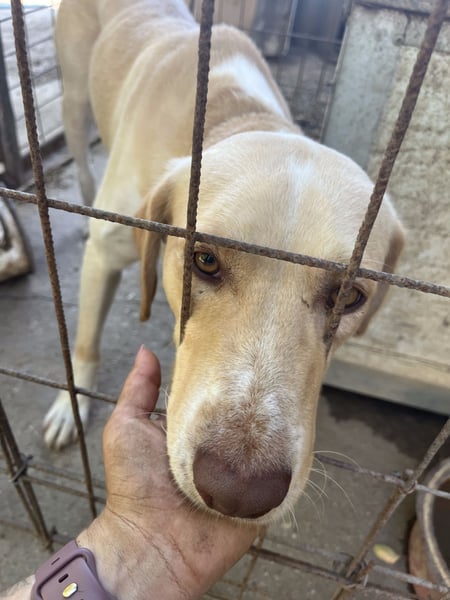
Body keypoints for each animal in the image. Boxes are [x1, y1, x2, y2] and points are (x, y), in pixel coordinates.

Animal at [45, 0, 404, 523]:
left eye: (348, 295)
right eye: (206, 259)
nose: (239, 491)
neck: (233, 114)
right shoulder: (104, 253)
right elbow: (87, 342)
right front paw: (67, 408)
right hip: (73, 99)